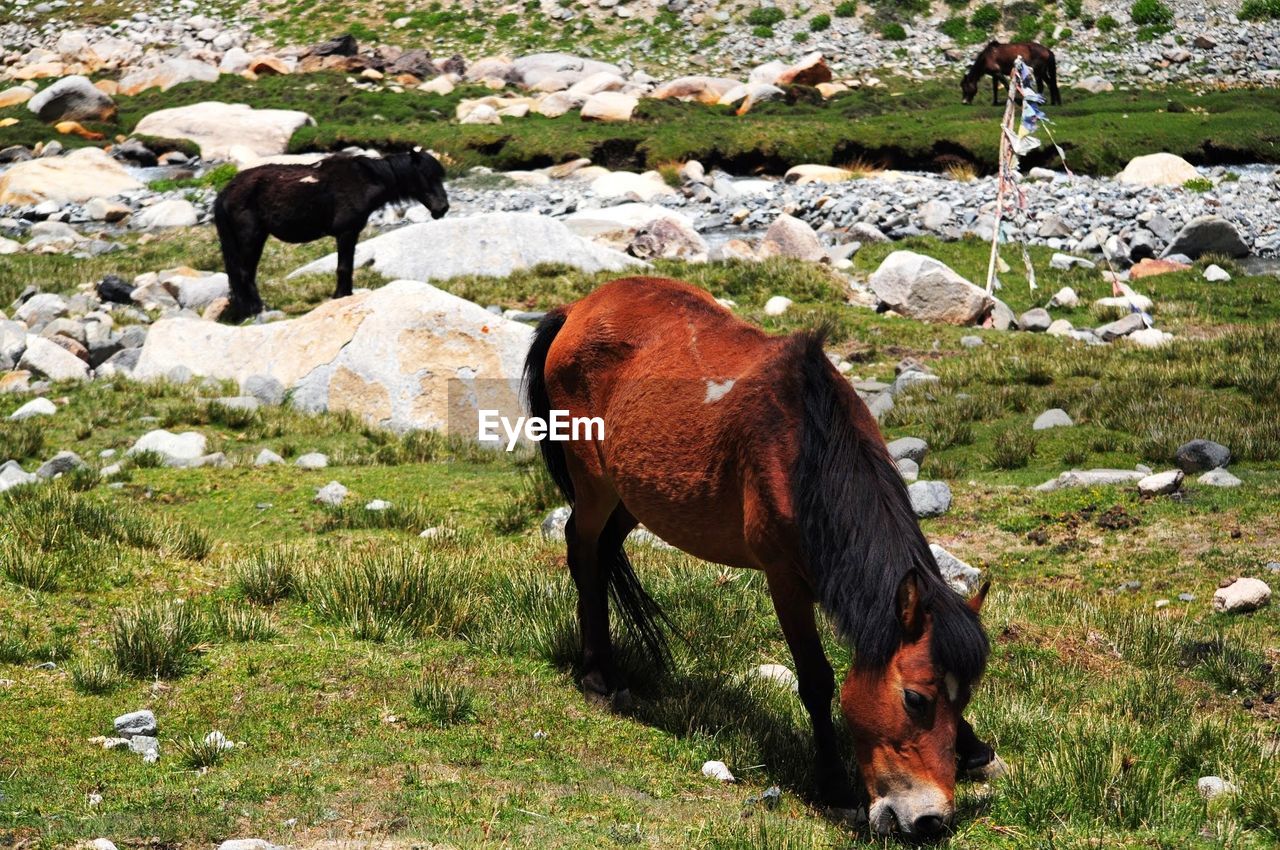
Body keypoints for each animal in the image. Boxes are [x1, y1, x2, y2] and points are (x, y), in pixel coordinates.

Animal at [524, 280, 993, 844]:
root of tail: (578, 307)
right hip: (593, 481)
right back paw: (597, 675)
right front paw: (834, 787)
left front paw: (973, 749)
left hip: (632, 494)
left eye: (962, 699)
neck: (805, 451)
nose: (928, 821)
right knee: (583, 549)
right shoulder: (784, 580)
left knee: (604, 550)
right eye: (915, 699)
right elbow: (816, 680)